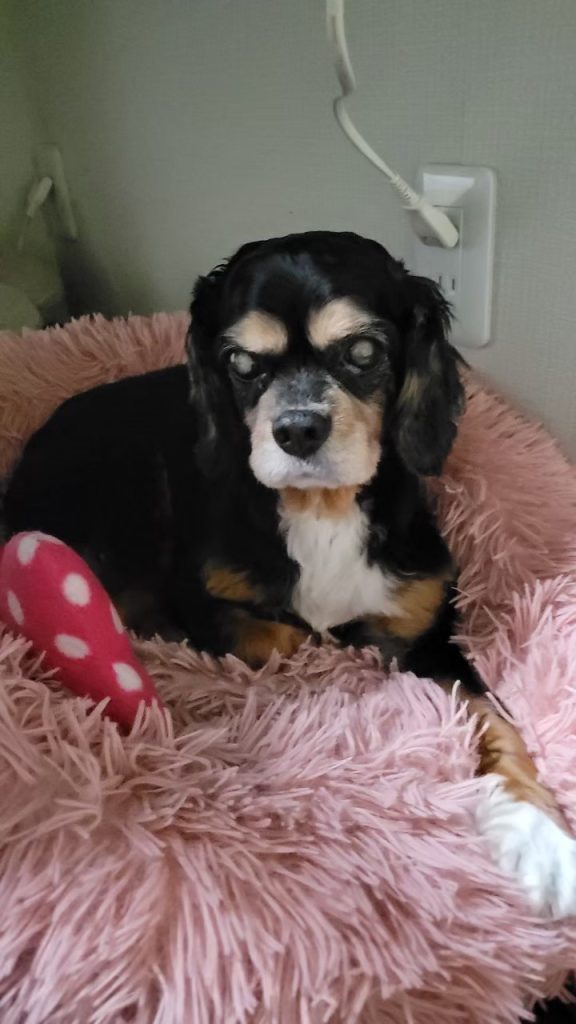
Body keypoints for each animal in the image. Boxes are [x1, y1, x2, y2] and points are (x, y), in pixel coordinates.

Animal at [4, 230, 576, 918]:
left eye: (363, 350)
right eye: (242, 362)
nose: (298, 429)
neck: (322, 508)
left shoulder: (426, 627)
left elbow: (494, 717)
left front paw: (537, 833)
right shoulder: (203, 599)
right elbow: (286, 638)